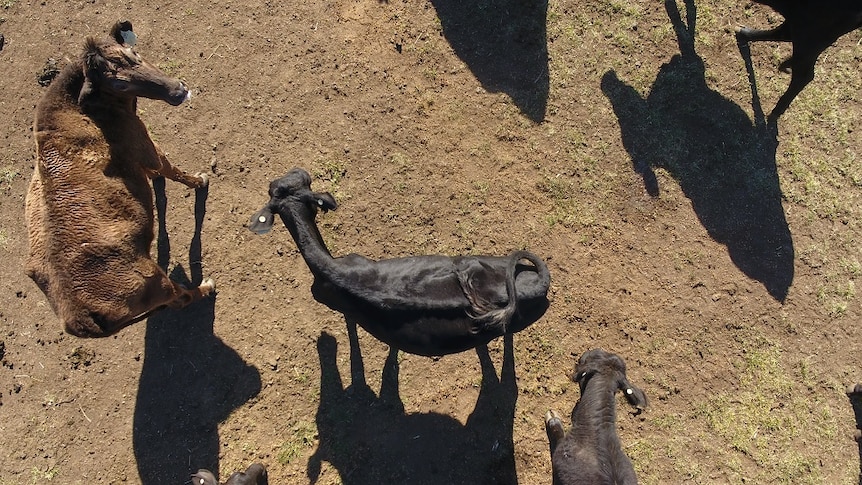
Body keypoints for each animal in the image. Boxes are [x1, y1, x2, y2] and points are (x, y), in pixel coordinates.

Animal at [24, 19, 214, 336]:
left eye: (133, 54)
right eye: (119, 82)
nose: (177, 90)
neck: (84, 109)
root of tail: (79, 318)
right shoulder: (146, 146)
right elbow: (170, 169)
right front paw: (200, 180)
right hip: (159, 283)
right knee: (182, 297)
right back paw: (206, 286)